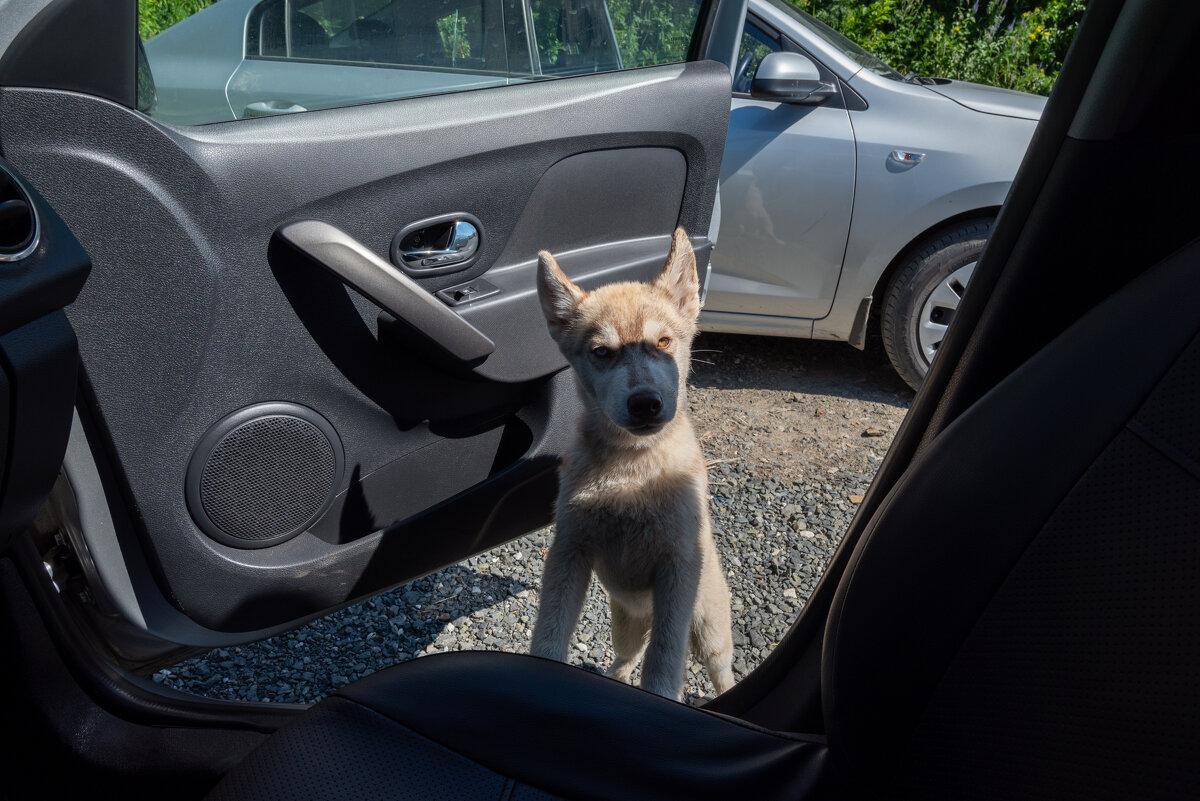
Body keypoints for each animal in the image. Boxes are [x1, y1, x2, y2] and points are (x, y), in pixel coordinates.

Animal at [532, 227, 734, 695]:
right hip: (625, 624)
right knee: (627, 658)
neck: (631, 474)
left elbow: (662, 666)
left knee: (721, 672)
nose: (645, 404)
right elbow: (549, 633)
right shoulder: (570, 550)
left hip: (711, 631)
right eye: (602, 352)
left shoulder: (677, 568)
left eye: (662, 342)